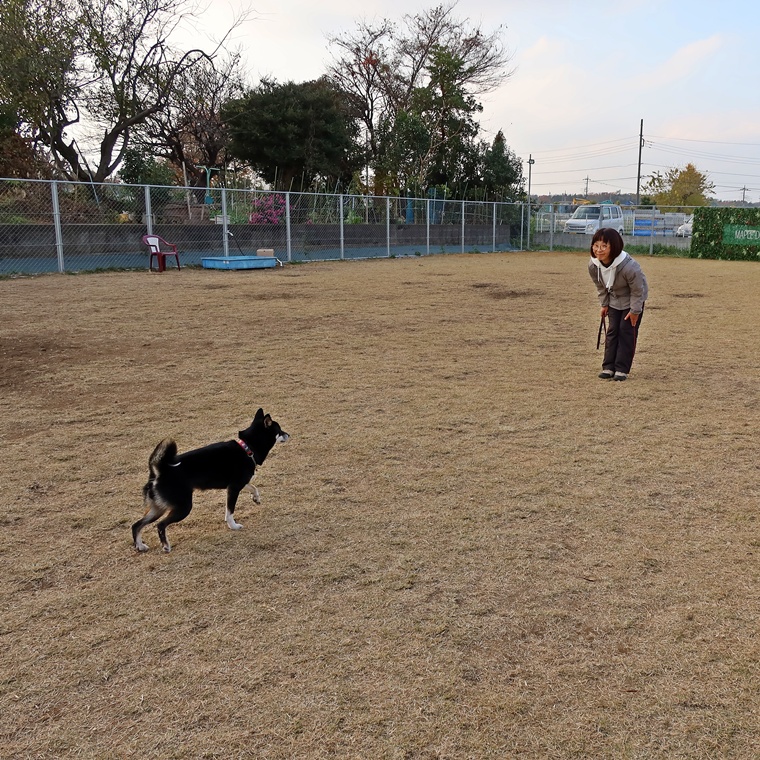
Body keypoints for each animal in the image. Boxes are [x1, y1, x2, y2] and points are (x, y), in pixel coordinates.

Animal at [132, 409, 289, 552]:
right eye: (279, 430)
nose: (289, 434)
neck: (247, 448)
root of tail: (159, 471)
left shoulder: (238, 483)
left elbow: (253, 488)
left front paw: (256, 498)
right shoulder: (234, 488)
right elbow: (230, 510)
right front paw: (233, 526)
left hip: (158, 508)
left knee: (136, 525)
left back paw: (140, 546)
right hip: (183, 507)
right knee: (160, 525)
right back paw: (166, 546)